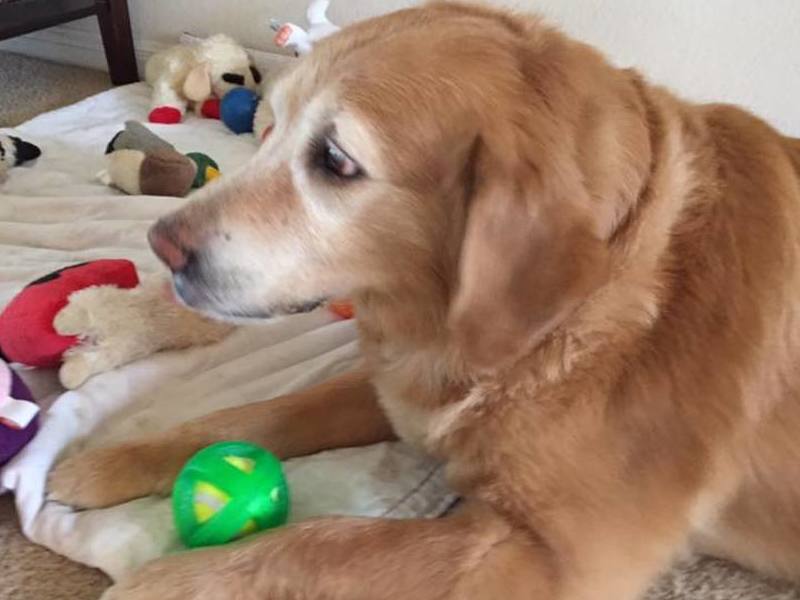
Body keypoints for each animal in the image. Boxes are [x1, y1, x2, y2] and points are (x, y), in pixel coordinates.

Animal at [47, 2, 800, 596]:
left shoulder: (556, 557)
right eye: (270, 126)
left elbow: (321, 542)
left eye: (337, 161)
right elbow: (256, 414)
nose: (161, 243)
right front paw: (111, 462)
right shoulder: (395, 388)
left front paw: (170, 583)